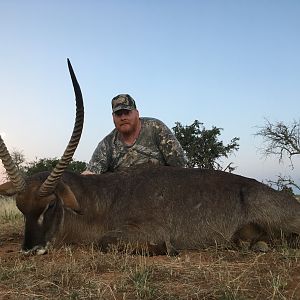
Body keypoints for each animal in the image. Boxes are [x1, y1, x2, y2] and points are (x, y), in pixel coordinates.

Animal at [0, 60, 300, 255]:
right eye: (20, 208)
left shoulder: (148, 230)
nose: (30, 249)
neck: (97, 203)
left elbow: (106, 243)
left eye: (50, 205)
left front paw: (166, 249)